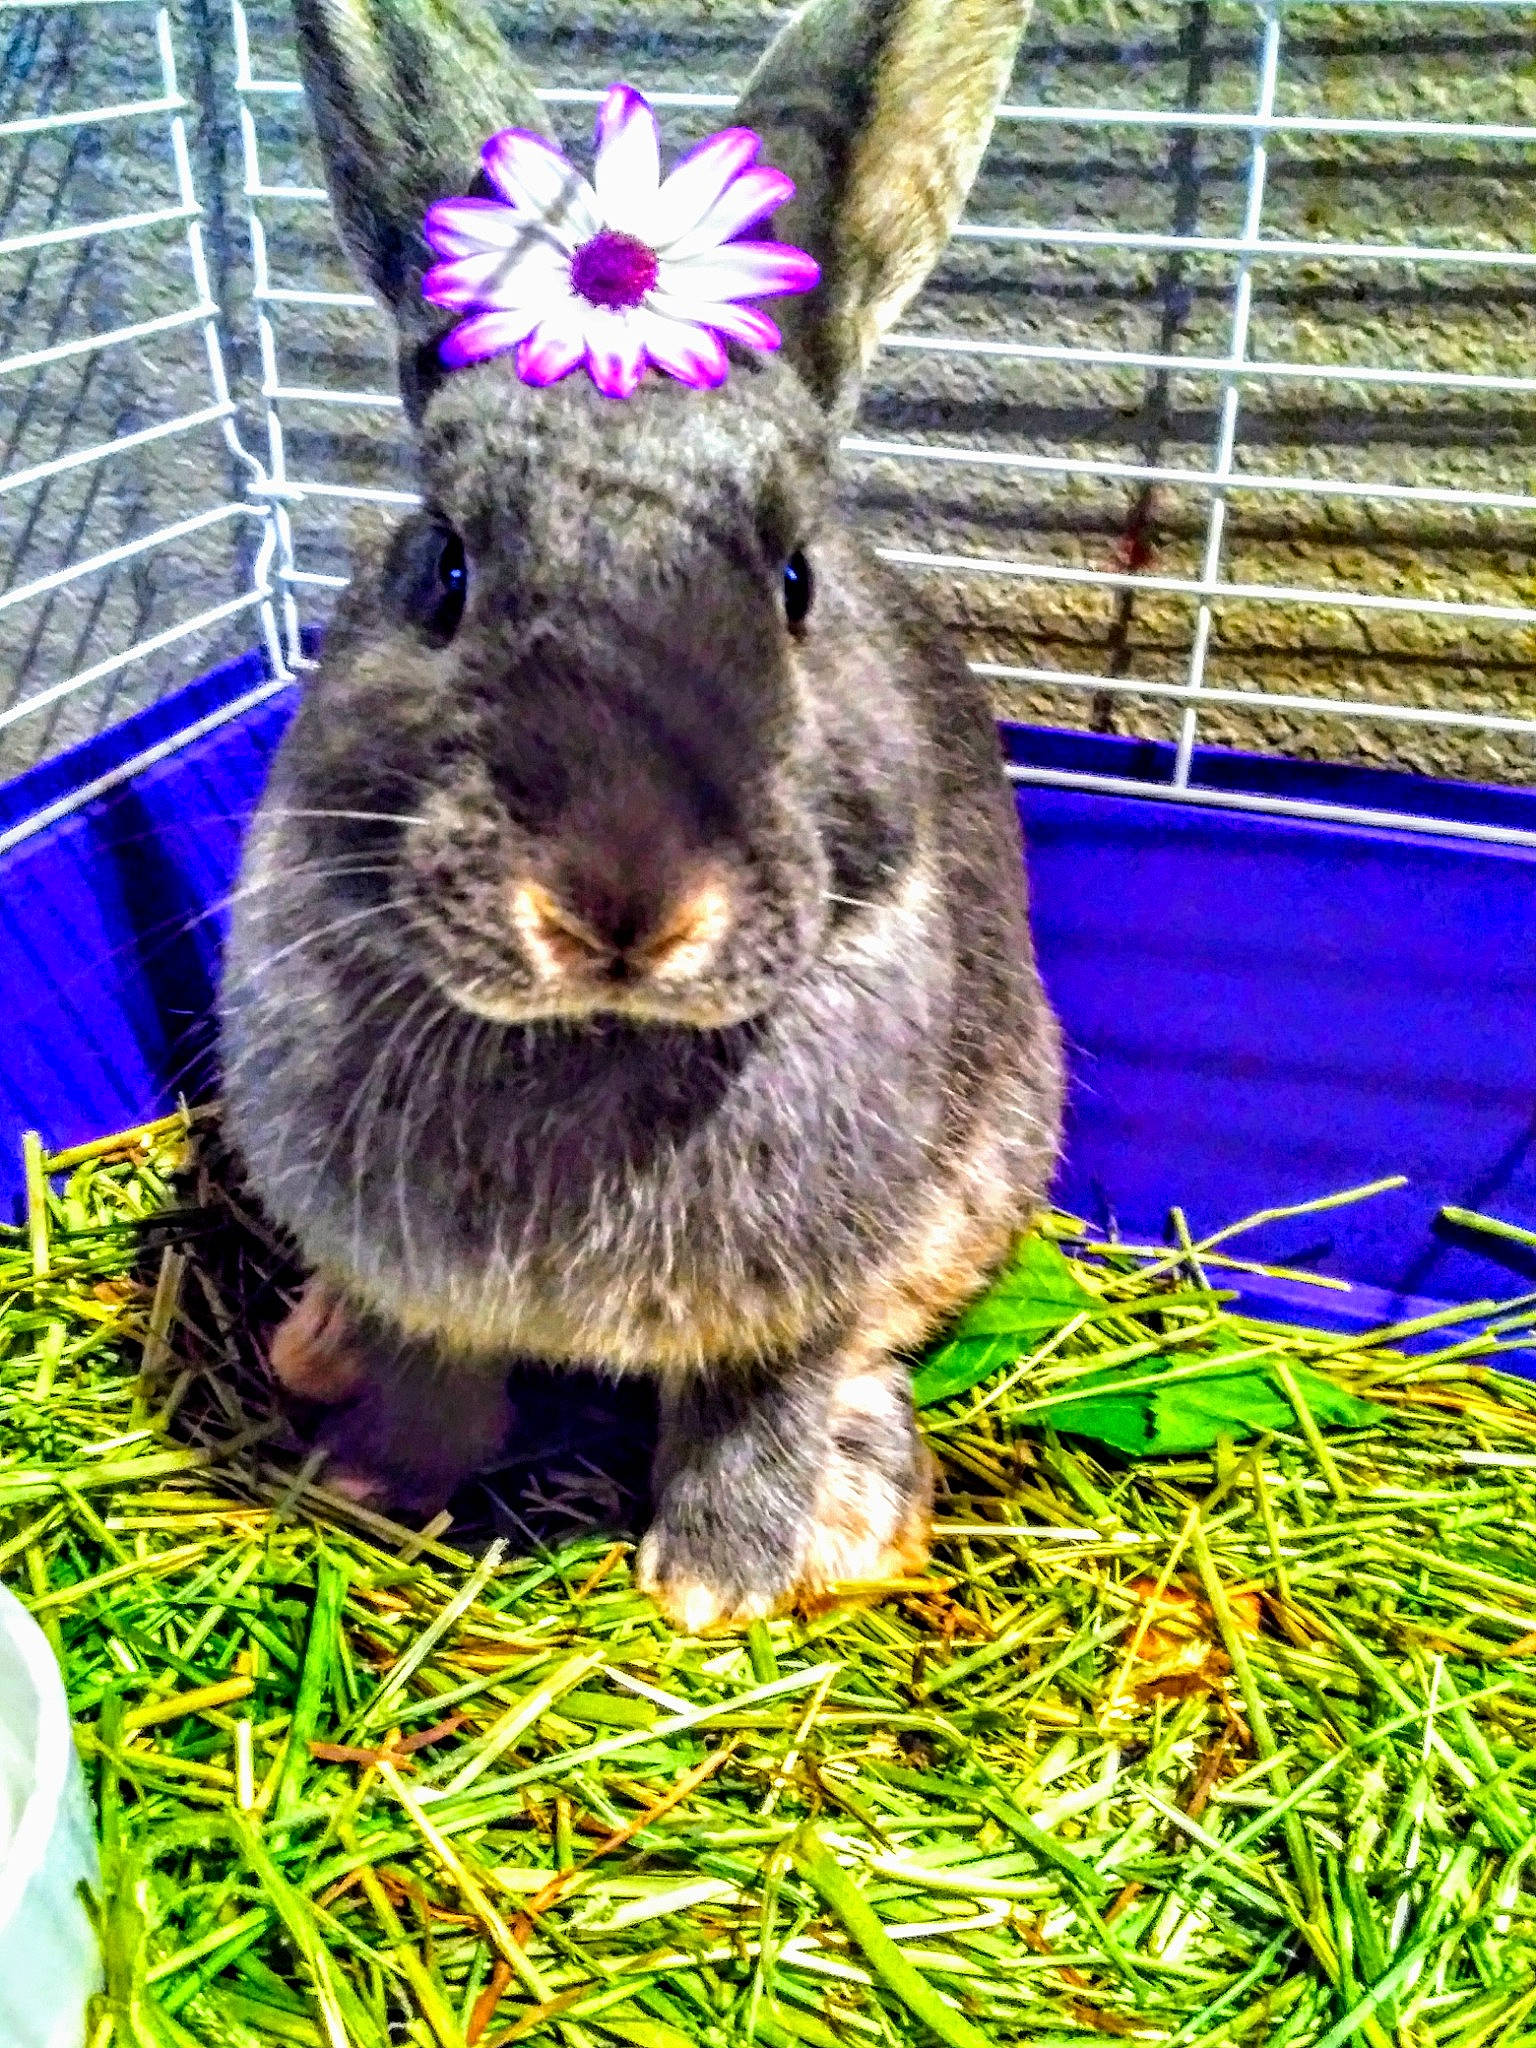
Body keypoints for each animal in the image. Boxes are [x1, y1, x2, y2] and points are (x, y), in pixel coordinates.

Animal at [221, 0, 1062, 1631]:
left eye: (796, 580)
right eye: (444, 567)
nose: (622, 899)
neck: (594, 1038)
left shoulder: (795, 1296)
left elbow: (761, 1405)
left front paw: (717, 1593)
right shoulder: (416, 1274)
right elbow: (432, 1378)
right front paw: (370, 1489)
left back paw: (859, 1512)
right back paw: (313, 1346)